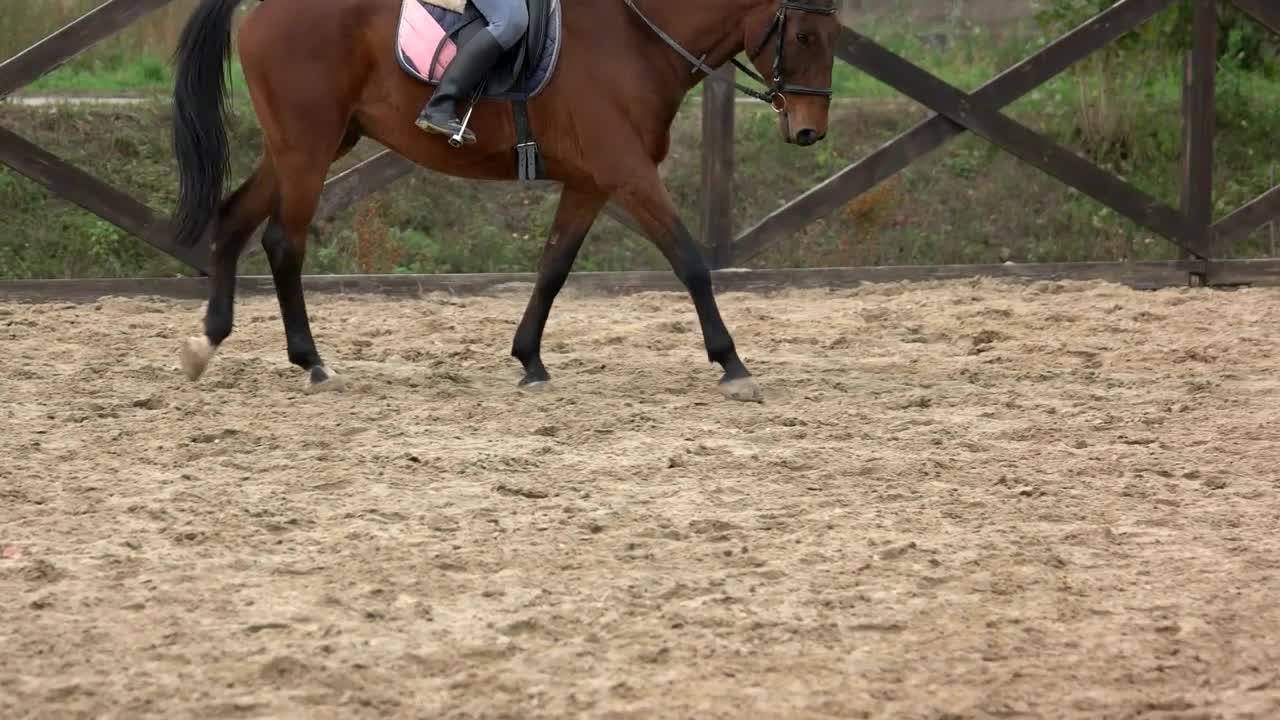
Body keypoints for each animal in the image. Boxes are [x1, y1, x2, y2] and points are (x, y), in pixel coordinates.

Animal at [170, 0, 844, 399]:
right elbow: (690, 261)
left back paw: (208, 342)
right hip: (307, 146)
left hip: (313, 144)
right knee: (284, 242)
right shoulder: (628, 174)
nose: (810, 130)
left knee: (234, 219)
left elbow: (553, 267)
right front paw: (732, 365)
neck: (635, 38)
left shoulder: (592, 182)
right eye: (806, 34)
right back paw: (310, 361)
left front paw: (530, 361)